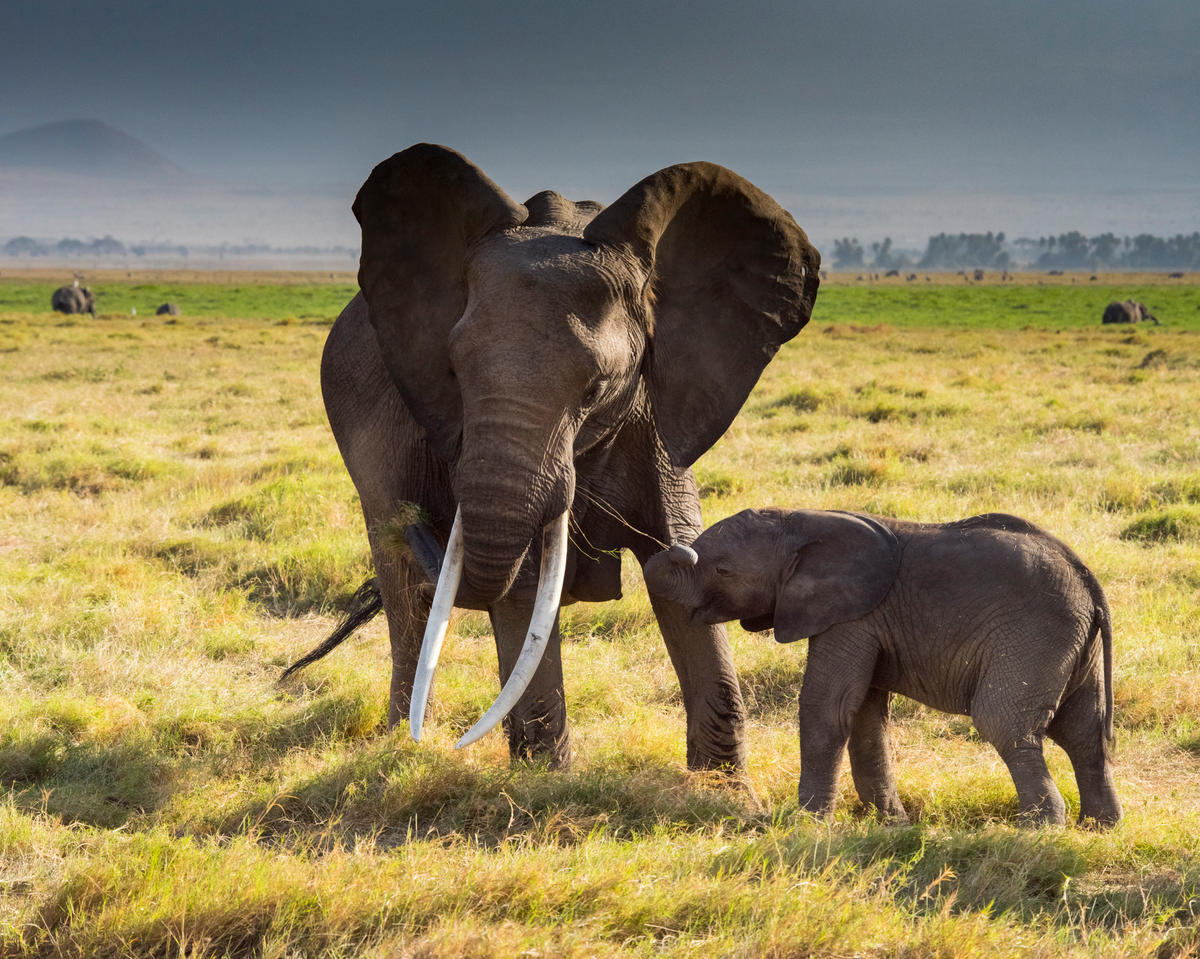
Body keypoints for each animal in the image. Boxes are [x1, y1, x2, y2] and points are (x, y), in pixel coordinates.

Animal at [288, 142, 816, 772]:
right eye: (453, 373)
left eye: (597, 386)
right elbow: (522, 588)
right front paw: (546, 782)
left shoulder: (663, 411)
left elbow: (678, 564)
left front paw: (727, 793)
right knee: (404, 590)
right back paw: (403, 741)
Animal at [648, 506, 1123, 830]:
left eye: (723, 570)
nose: (677, 551)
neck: (803, 521)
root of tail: (1089, 584)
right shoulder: (867, 621)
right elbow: (866, 714)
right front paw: (892, 824)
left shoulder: (851, 616)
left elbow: (827, 706)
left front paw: (807, 823)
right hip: (1072, 646)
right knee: (1084, 732)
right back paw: (1099, 828)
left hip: (1033, 637)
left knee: (1005, 723)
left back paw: (1038, 830)